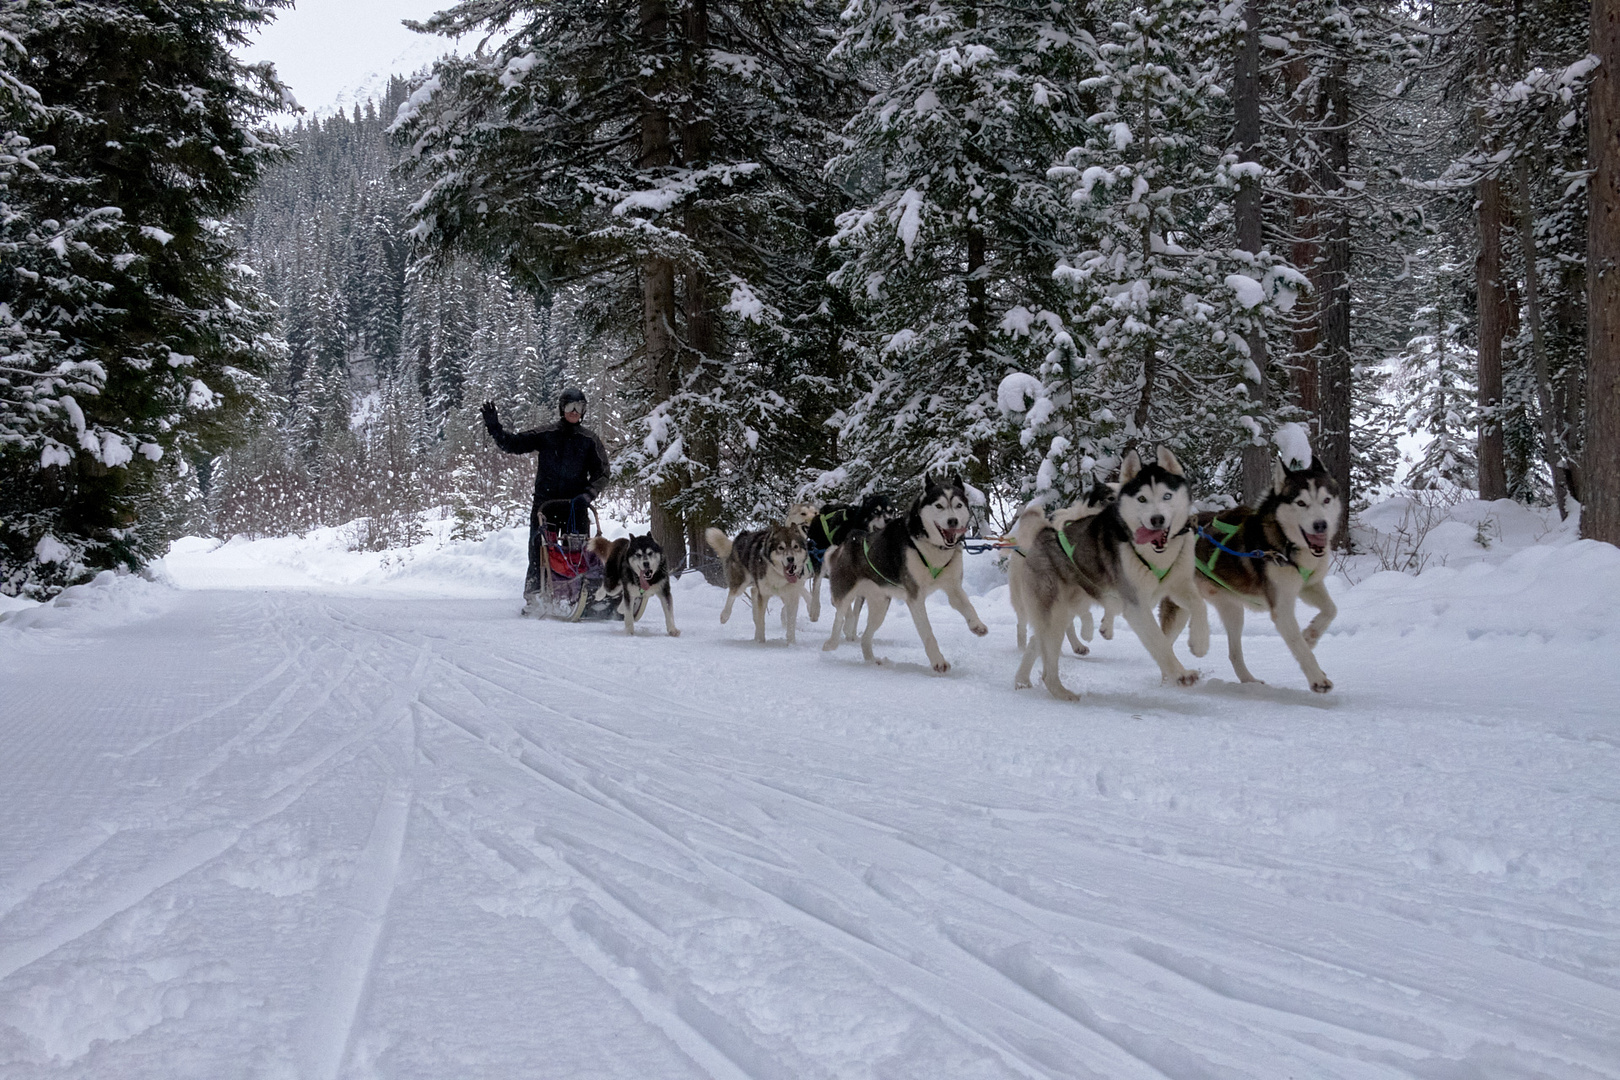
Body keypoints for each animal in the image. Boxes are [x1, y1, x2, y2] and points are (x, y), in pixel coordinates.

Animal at [806, 492, 900, 625]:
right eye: (875, 511)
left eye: (891, 511)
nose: (889, 519)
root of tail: (822, 512)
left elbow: (856, 609)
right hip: (821, 558)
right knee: (816, 583)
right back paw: (815, 610)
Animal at [822, 476, 984, 670]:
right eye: (939, 506)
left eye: (959, 505)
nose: (953, 521)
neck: (930, 545)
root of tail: (846, 543)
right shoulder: (915, 597)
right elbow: (927, 631)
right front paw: (938, 661)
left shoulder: (953, 588)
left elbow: (968, 606)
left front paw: (977, 625)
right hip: (845, 593)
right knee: (840, 617)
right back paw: (831, 643)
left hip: (880, 607)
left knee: (866, 636)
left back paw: (871, 660)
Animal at [1004, 446, 1211, 702]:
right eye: (1142, 498)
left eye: (1167, 496)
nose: (1157, 520)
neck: (1155, 555)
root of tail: (1044, 532)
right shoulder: (1136, 605)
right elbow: (1159, 642)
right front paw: (1180, 674)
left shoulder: (1179, 586)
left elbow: (1199, 605)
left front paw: (1199, 642)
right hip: (1053, 613)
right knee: (1045, 664)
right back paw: (1063, 693)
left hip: (1065, 610)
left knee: (1037, 642)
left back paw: (1022, 680)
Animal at [1166, 456, 1341, 693]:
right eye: (1301, 503)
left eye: (1326, 500)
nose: (1320, 525)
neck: (1286, 543)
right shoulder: (1281, 608)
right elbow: (1299, 646)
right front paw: (1317, 678)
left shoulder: (1309, 586)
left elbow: (1331, 610)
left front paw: (1311, 635)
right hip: (1180, 607)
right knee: (1163, 642)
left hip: (1232, 610)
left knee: (1234, 653)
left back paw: (1248, 680)